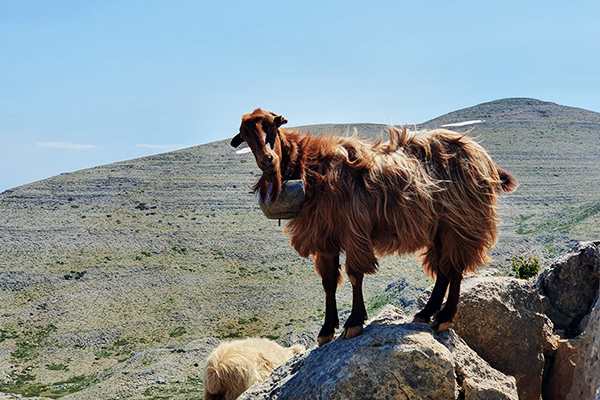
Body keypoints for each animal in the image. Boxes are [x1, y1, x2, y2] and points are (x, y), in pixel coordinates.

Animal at [230, 108, 516, 346]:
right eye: (245, 135)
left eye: (272, 127)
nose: (267, 160)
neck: (311, 168)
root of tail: (485, 159)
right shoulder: (324, 238)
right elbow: (329, 282)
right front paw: (326, 330)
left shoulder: (353, 232)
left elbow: (355, 275)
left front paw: (354, 322)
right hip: (439, 227)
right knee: (443, 269)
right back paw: (425, 313)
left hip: (462, 221)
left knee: (455, 268)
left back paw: (444, 317)